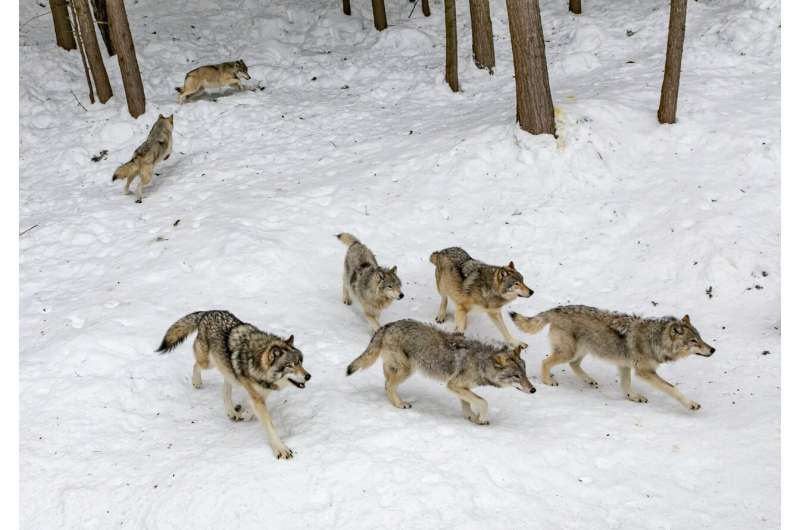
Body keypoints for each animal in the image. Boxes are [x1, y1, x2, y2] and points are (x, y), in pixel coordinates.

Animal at [155, 308, 310, 456]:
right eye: (290, 365)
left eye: (300, 362)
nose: (308, 376)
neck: (256, 362)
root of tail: (207, 312)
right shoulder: (256, 395)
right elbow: (269, 425)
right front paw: (281, 449)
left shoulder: (261, 393)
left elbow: (251, 409)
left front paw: (245, 414)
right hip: (208, 363)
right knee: (196, 365)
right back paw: (197, 382)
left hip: (226, 369)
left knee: (225, 388)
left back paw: (231, 411)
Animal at [346, 316, 536, 422]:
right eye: (516, 376)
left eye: (525, 374)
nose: (534, 390)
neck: (480, 362)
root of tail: (387, 325)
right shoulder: (453, 385)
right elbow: (483, 401)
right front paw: (482, 418)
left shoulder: (460, 387)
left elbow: (468, 403)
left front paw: (472, 417)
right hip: (407, 370)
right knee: (389, 386)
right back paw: (400, 404)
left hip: (397, 368)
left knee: (386, 384)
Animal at [510, 306, 716, 408]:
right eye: (694, 341)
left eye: (700, 338)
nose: (713, 350)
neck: (655, 340)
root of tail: (556, 309)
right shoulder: (644, 372)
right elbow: (672, 389)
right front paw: (691, 404)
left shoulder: (625, 365)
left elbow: (626, 385)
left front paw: (633, 397)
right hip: (569, 352)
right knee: (546, 362)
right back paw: (548, 381)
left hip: (582, 351)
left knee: (574, 365)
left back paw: (589, 380)